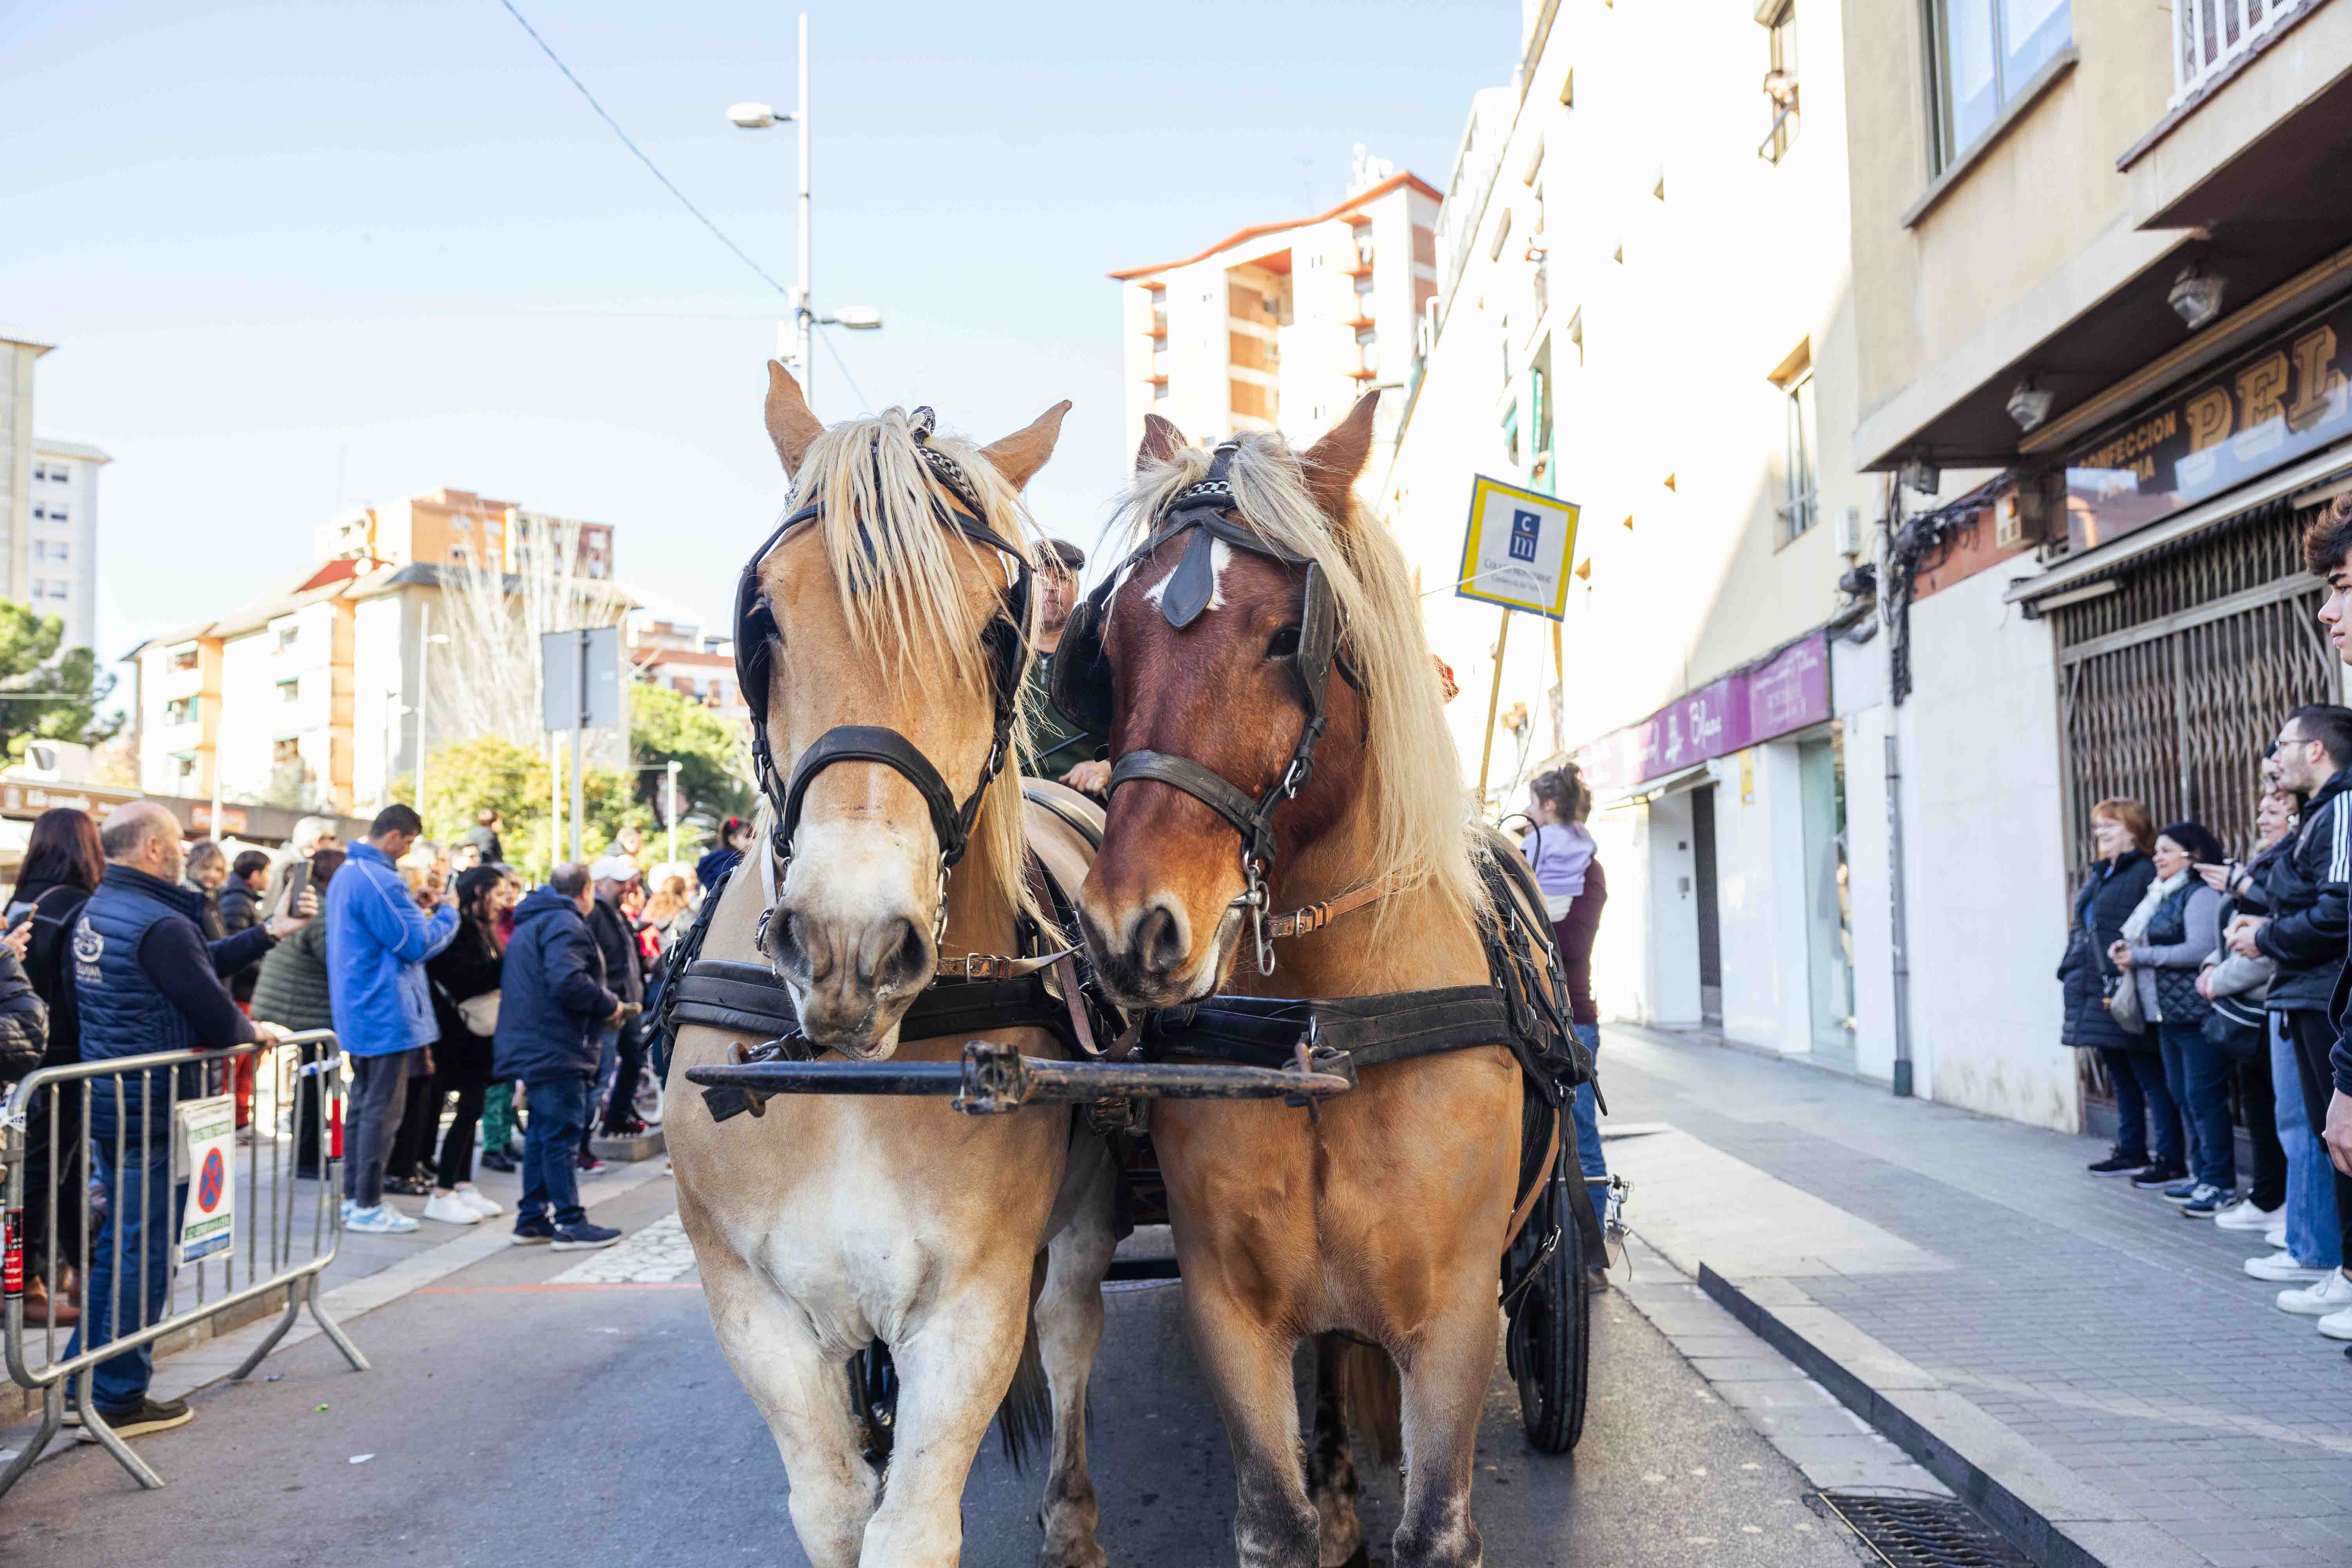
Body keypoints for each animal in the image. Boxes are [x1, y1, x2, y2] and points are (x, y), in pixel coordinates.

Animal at [673, 362, 1120, 1561]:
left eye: (997, 627)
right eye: (763, 618)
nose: (850, 944)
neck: (859, 1077)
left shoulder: (971, 1308)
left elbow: (911, 1527)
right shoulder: (757, 1314)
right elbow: (834, 1509)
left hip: (1079, 1223)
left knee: (1072, 1329)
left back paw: (1074, 1517)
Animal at [1077, 392, 1524, 1568]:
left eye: (1289, 636)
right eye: (1111, 641)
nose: (1127, 927)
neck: (1327, 1029)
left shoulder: (1458, 1323)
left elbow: (1436, 1530)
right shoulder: (1231, 1317)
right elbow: (1275, 1523)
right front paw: (1318, 1511)